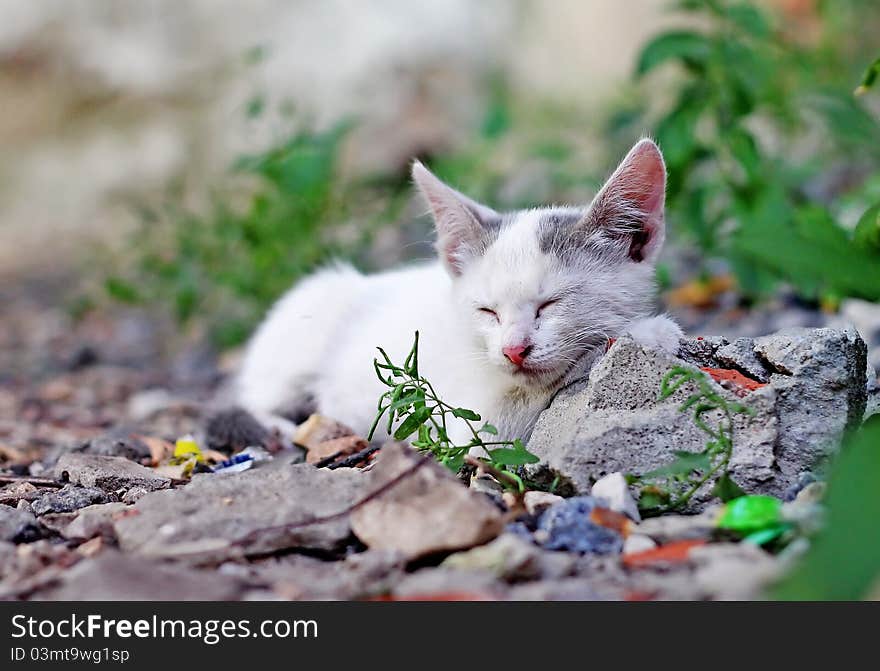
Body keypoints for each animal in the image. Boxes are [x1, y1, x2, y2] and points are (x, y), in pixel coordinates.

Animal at [232, 140, 680, 446]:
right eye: (487, 311)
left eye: (550, 304)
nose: (513, 350)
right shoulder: (473, 420)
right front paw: (645, 333)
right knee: (255, 396)